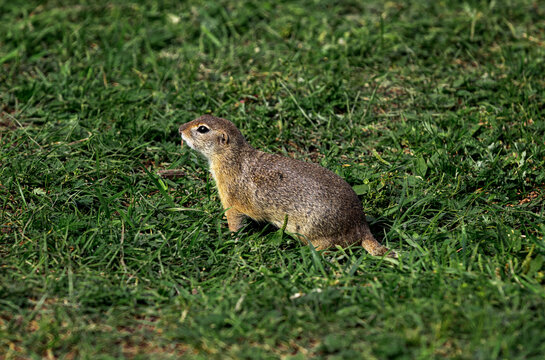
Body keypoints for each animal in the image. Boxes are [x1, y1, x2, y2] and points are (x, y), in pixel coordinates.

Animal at [178, 114, 396, 258]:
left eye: (202, 128)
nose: (180, 129)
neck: (233, 158)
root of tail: (361, 225)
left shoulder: (231, 198)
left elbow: (234, 220)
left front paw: (229, 237)